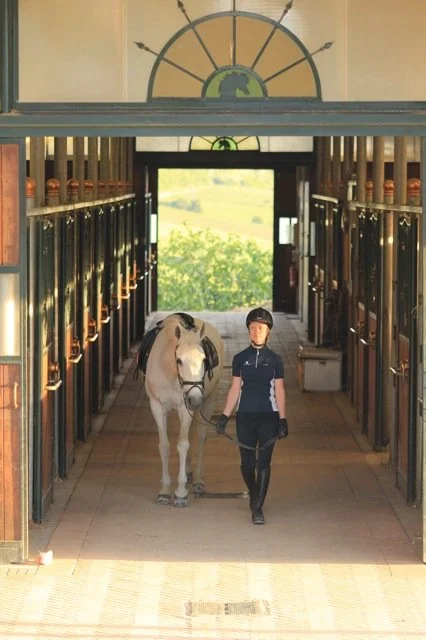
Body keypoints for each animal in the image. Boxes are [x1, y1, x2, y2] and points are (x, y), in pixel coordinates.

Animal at [143, 313, 224, 507]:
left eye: (204, 360)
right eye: (179, 360)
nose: (195, 399)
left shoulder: (184, 407)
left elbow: (183, 444)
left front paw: (180, 493)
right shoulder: (157, 406)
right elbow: (165, 446)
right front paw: (164, 491)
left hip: (208, 401)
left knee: (200, 438)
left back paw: (198, 481)